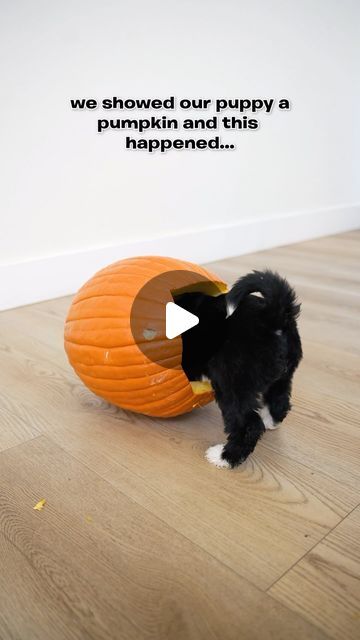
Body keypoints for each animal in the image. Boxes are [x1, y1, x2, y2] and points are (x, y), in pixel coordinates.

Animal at [176, 268, 302, 468]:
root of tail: (273, 317)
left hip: (231, 381)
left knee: (247, 423)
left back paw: (224, 457)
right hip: (284, 375)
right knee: (280, 400)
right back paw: (270, 420)